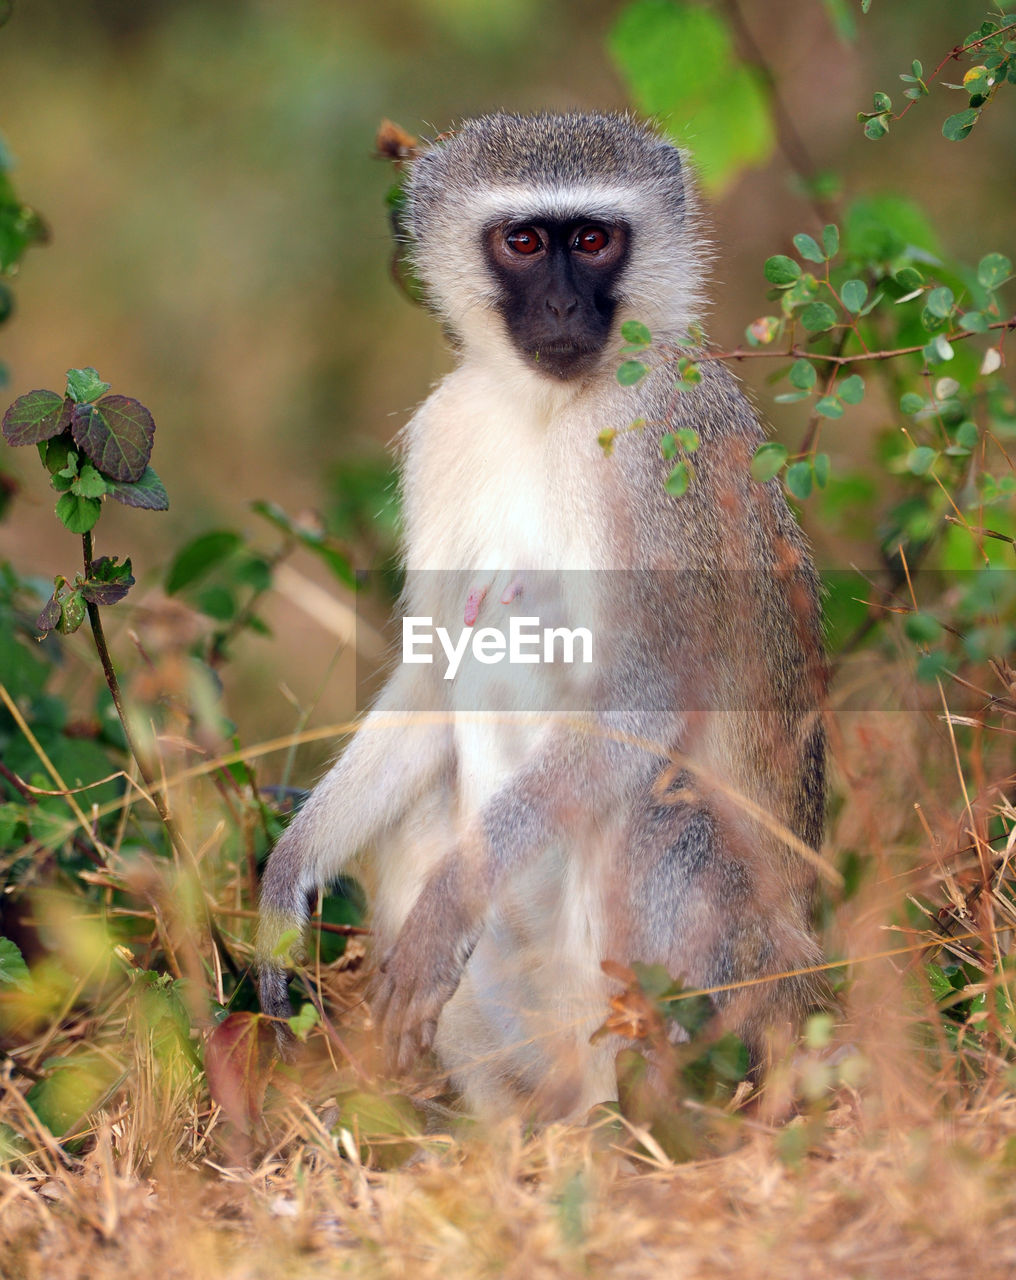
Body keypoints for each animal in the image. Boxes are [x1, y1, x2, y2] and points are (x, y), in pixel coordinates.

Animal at [259, 112, 824, 1121]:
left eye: (593, 239)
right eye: (524, 241)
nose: (562, 309)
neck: (546, 407)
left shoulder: (657, 440)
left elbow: (642, 698)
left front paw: (447, 904)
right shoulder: (446, 431)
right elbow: (433, 673)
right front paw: (286, 881)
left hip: (742, 978)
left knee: (661, 821)